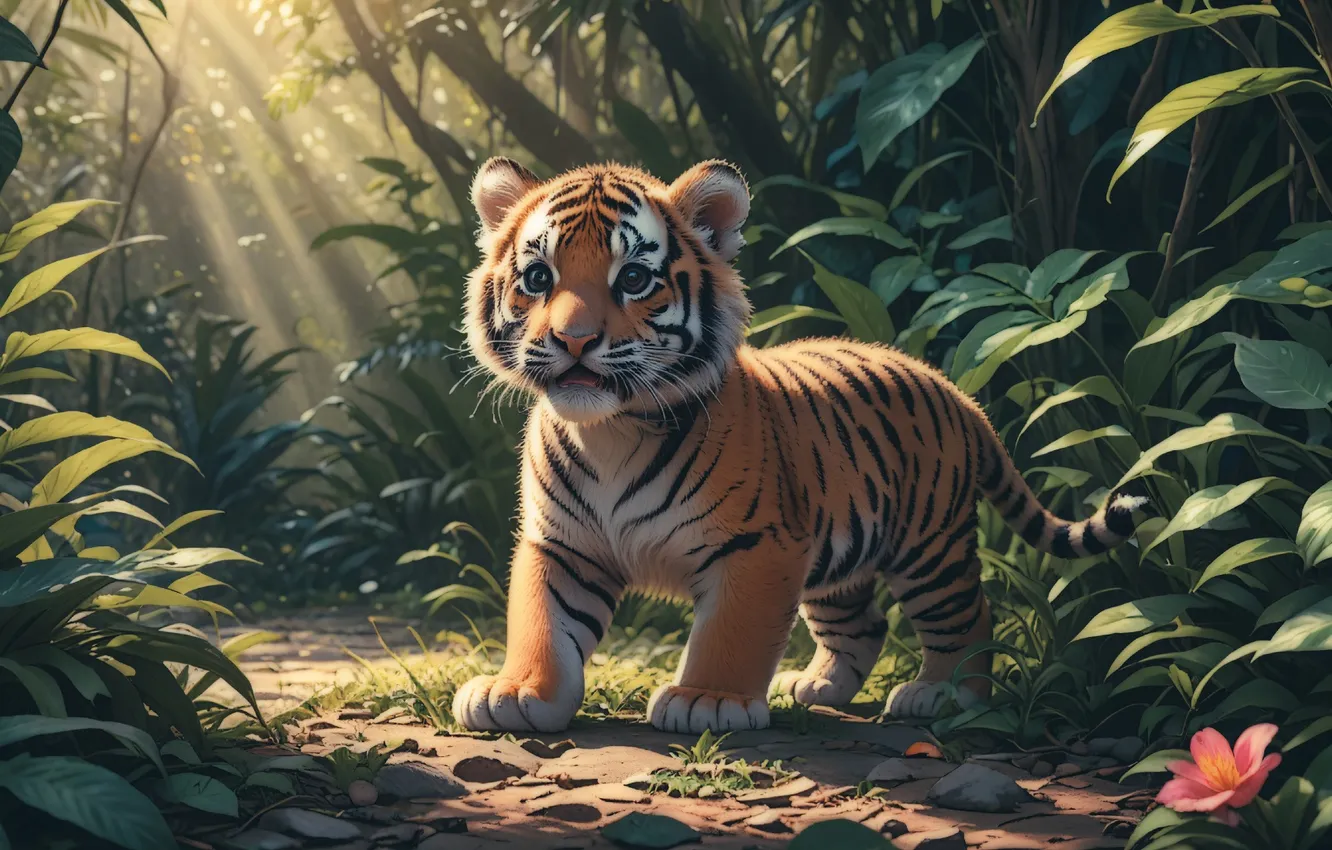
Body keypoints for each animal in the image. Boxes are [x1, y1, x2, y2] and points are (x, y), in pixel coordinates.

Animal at [452, 156, 1146, 734]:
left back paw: (943, 696)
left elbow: (730, 633)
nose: (572, 340)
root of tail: (957, 393)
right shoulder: (562, 544)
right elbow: (543, 623)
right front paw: (519, 693)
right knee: (864, 626)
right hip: (838, 558)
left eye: (635, 278)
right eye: (537, 277)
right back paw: (817, 687)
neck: (612, 429)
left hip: (929, 547)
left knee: (969, 616)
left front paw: (708, 701)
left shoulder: (756, 546)